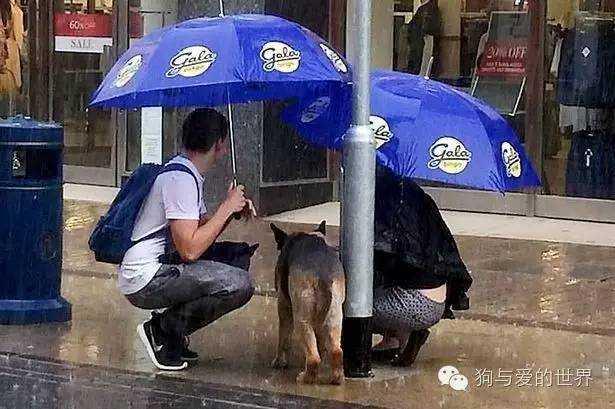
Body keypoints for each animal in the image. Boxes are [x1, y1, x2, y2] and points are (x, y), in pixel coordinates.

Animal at [270, 222, 346, 384]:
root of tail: (323, 276)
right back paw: (336, 378)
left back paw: (306, 378)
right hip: (335, 317)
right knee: (336, 351)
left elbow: (283, 339)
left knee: (313, 358)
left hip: (302, 320)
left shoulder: (283, 306)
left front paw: (279, 362)